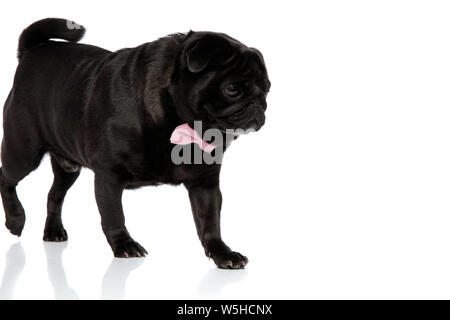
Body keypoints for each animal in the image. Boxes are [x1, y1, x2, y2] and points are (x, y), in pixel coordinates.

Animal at [0, 18, 268, 268]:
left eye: (267, 89)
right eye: (232, 89)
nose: (259, 104)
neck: (176, 118)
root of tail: (32, 51)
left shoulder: (205, 183)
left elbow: (210, 222)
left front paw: (222, 253)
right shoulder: (109, 176)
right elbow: (113, 215)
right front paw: (124, 245)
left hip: (68, 167)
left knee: (54, 195)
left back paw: (53, 230)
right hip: (23, 151)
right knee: (6, 178)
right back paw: (15, 219)